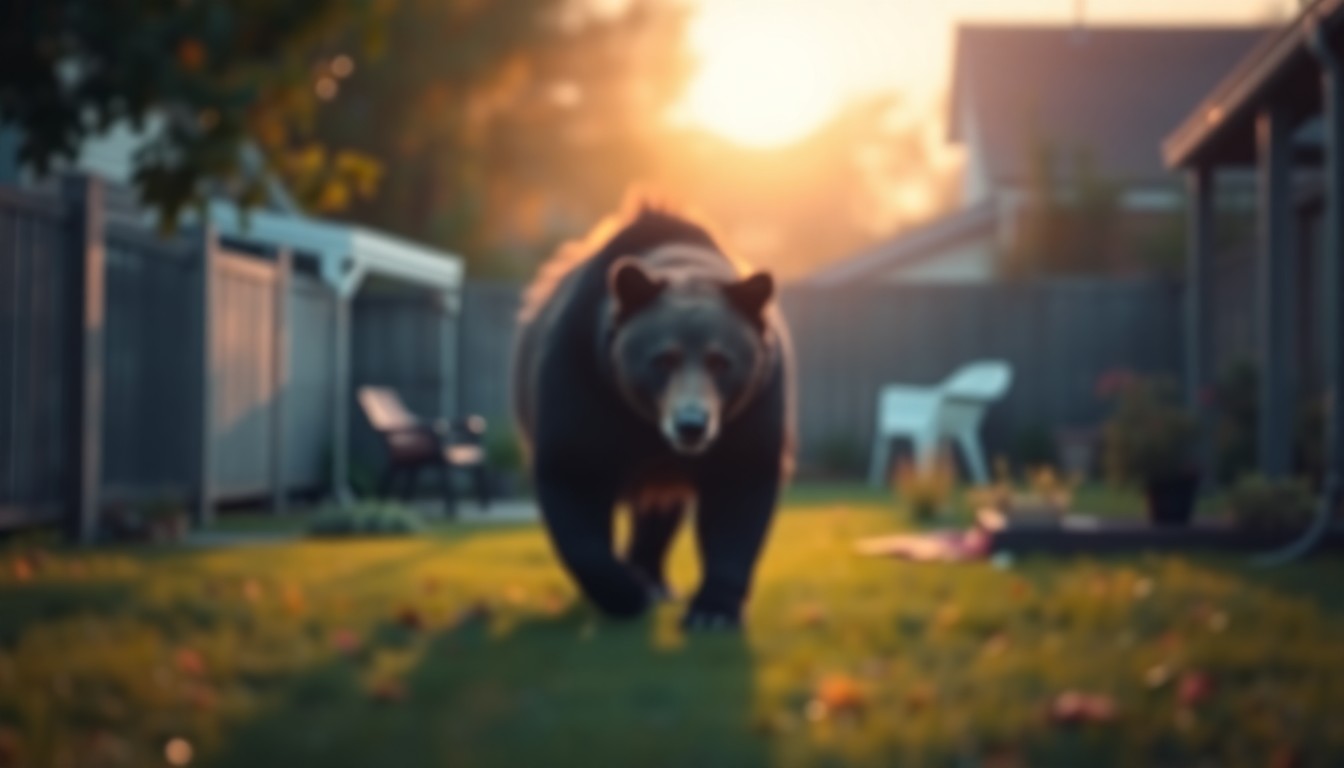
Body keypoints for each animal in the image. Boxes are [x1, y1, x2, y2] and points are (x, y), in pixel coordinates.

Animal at [512, 198, 794, 629]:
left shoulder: (753, 408)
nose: (691, 425)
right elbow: (573, 480)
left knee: (660, 512)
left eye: (721, 361)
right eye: (663, 358)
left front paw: (712, 611)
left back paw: (658, 579)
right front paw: (628, 593)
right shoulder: (581, 380)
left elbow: (739, 494)